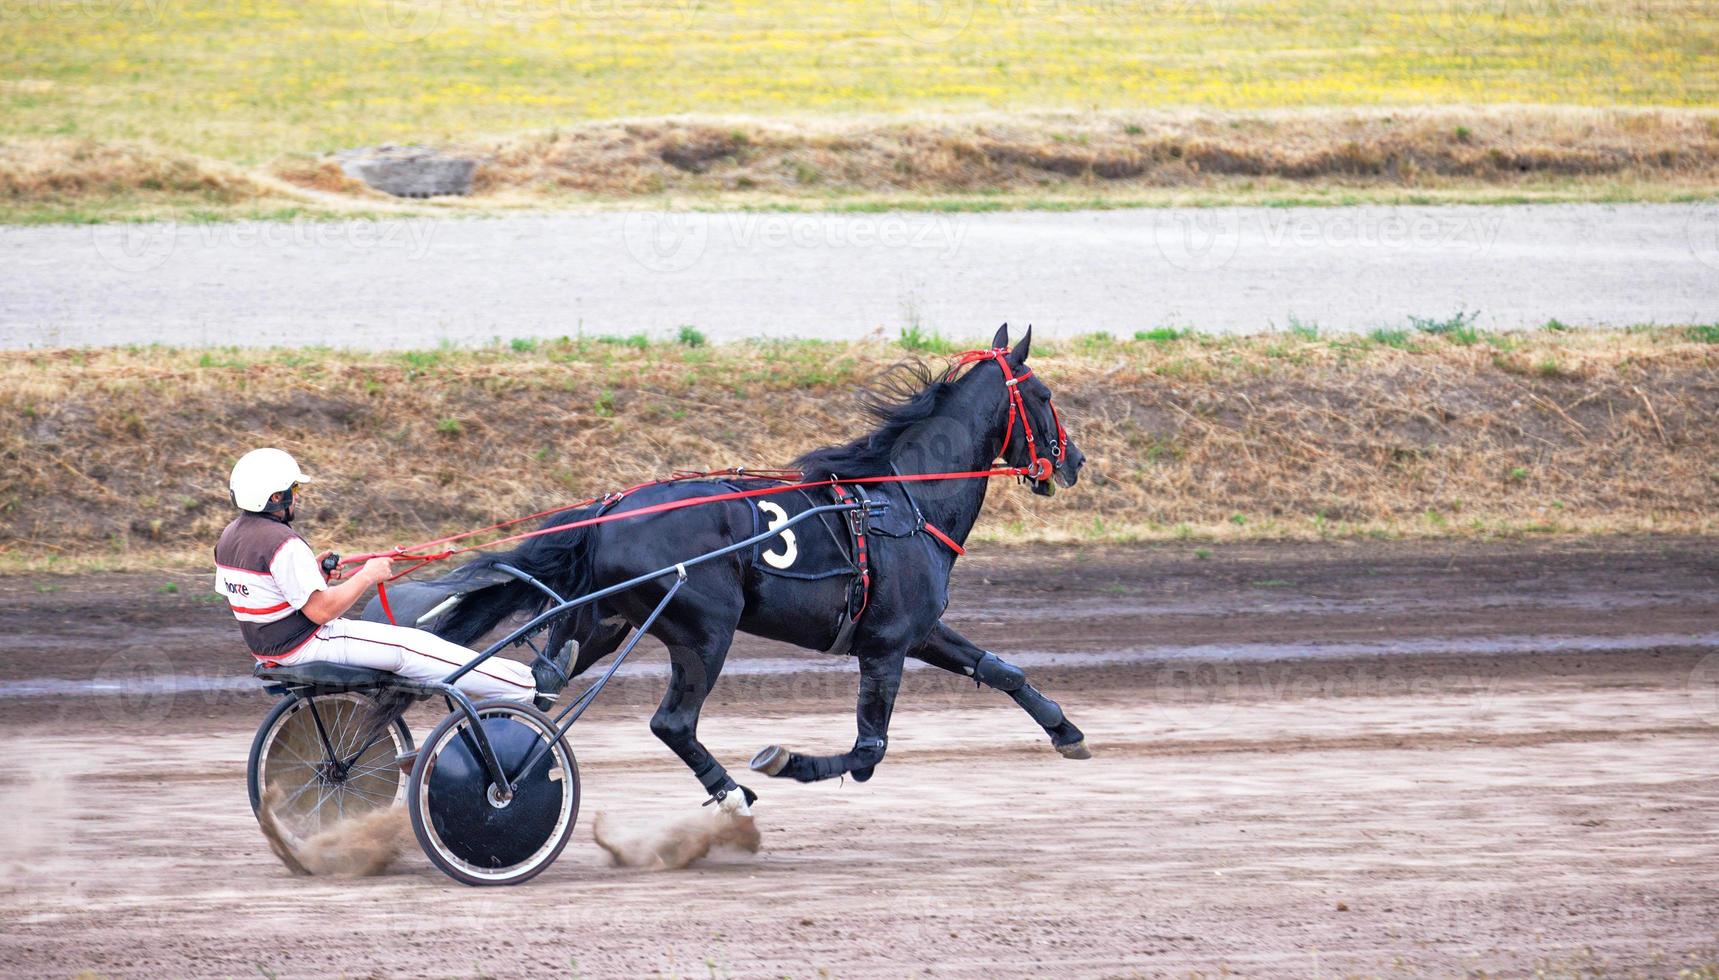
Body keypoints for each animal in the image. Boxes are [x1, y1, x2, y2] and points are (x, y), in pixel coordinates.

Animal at [426, 324, 1086, 804]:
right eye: (1045, 396)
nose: (1074, 460)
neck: (903, 501)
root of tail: (609, 510)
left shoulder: (916, 629)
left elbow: (1000, 670)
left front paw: (1067, 731)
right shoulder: (887, 643)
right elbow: (868, 752)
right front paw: (787, 760)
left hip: (602, 623)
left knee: (541, 689)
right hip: (706, 631)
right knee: (671, 723)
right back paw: (729, 791)